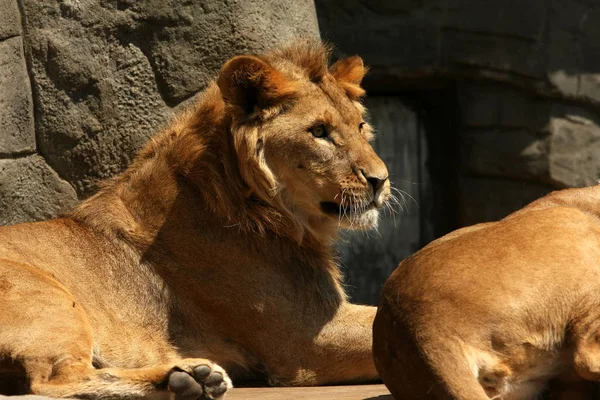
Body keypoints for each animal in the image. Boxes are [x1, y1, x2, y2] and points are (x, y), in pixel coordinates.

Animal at [0, 41, 390, 400]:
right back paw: (187, 376)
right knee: (53, 382)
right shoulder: (307, 339)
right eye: (319, 131)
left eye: (360, 126)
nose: (381, 180)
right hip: (47, 296)